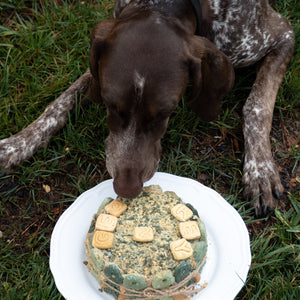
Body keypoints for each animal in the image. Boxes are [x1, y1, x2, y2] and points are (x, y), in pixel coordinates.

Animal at [0, 0, 294, 216]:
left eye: (164, 114)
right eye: (109, 105)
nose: (126, 189)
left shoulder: (283, 34)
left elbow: (256, 104)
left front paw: (259, 169)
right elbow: (61, 101)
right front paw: (17, 144)